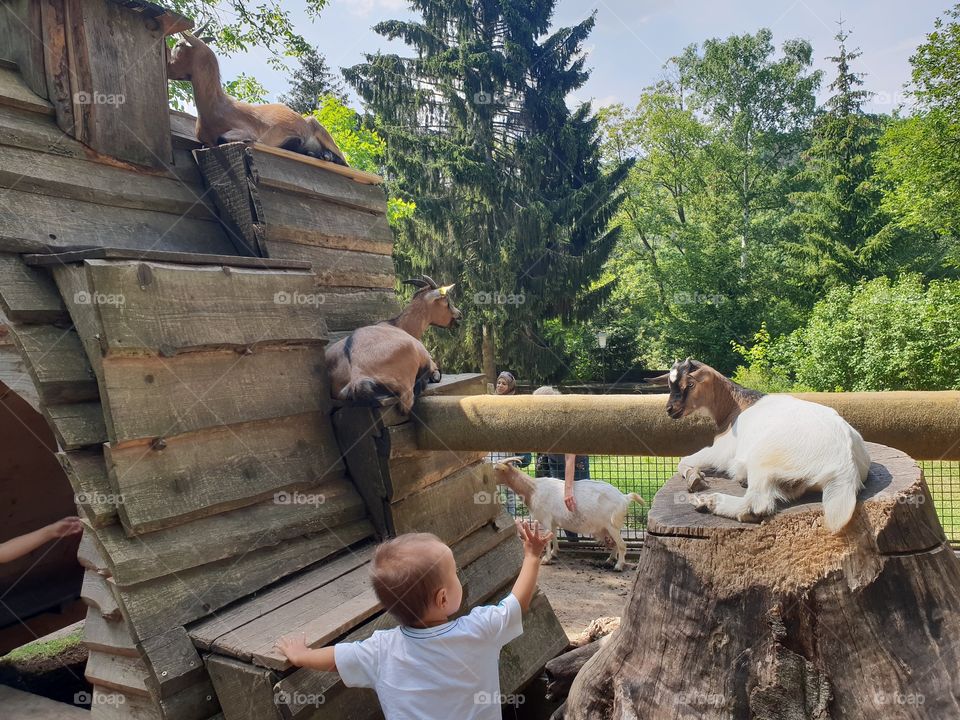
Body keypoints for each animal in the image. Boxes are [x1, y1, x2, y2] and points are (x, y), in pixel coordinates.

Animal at [167, 32, 346, 165]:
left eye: (178, 45)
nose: (168, 65)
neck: (216, 107)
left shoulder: (252, 131)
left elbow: (223, 137)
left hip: (321, 130)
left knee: (344, 160)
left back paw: (324, 155)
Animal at [326, 276, 462, 414]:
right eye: (447, 301)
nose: (460, 314)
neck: (398, 325)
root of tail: (357, 375)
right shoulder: (426, 358)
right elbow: (435, 371)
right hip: (405, 384)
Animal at [496, 458, 644, 572]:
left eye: (495, 468)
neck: (533, 489)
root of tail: (625, 498)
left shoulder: (545, 519)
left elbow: (547, 538)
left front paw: (546, 559)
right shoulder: (553, 522)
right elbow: (554, 536)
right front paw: (555, 553)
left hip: (612, 525)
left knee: (622, 544)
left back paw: (618, 566)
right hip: (607, 527)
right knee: (615, 544)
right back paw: (610, 559)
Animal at [652, 358, 872, 532]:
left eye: (690, 384)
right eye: (669, 385)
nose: (670, 409)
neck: (736, 406)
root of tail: (845, 464)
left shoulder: (723, 450)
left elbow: (685, 460)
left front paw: (695, 479)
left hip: (764, 458)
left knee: (756, 506)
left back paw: (708, 502)